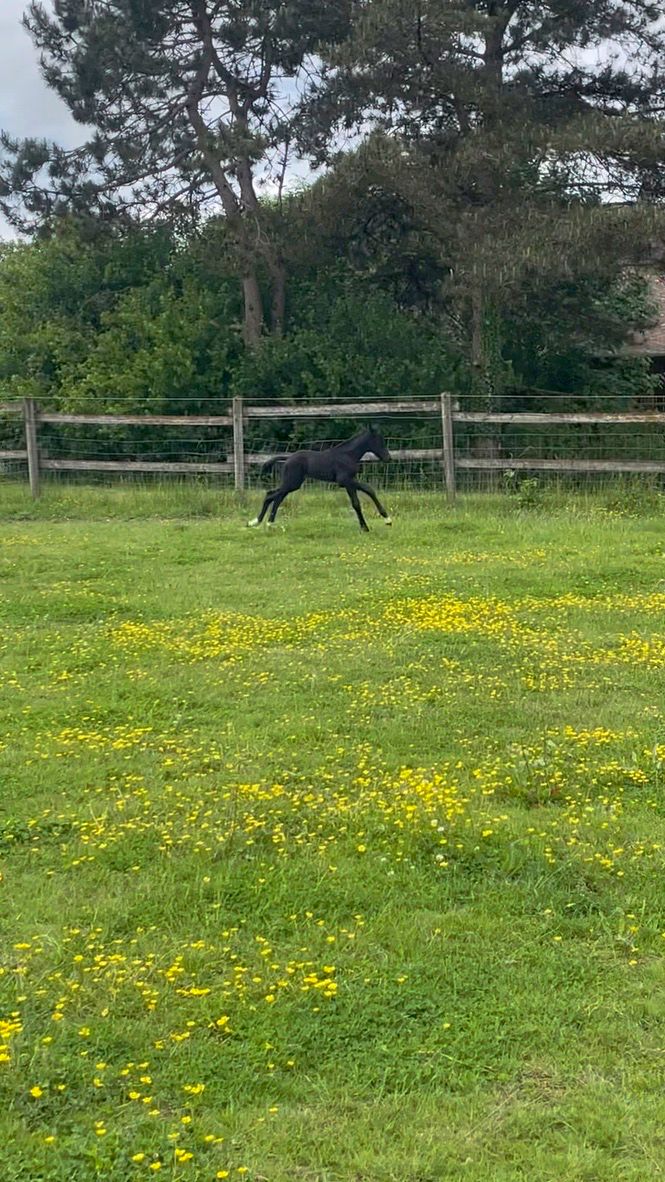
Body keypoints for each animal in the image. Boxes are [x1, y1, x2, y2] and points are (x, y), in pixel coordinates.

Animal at [248, 425, 392, 532]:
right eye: (379, 440)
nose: (388, 458)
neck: (348, 455)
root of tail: (288, 458)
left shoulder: (350, 481)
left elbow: (368, 491)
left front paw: (387, 520)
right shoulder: (345, 481)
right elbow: (358, 501)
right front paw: (367, 527)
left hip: (292, 484)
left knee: (275, 496)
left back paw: (264, 523)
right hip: (292, 483)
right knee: (272, 495)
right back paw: (259, 522)